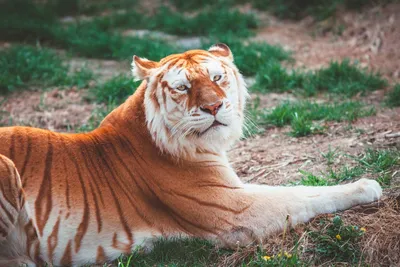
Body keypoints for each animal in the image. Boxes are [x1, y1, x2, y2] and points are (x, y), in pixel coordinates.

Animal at [0, 44, 382, 266]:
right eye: (183, 87)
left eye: (218, 77)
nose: (213, 106)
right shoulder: (235, 210)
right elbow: (303, 193)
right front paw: (367, 186)